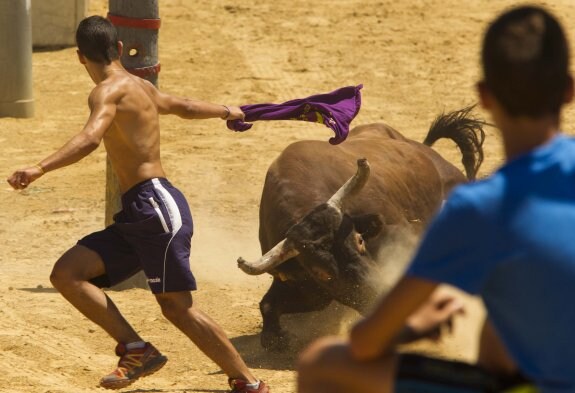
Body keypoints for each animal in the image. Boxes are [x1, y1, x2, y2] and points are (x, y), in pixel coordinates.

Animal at [237, 106, 486, 350]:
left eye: (359, 240)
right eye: (322, 273)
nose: (378, 293)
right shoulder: (310, 290)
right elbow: (268, 305)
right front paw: (276, 338)